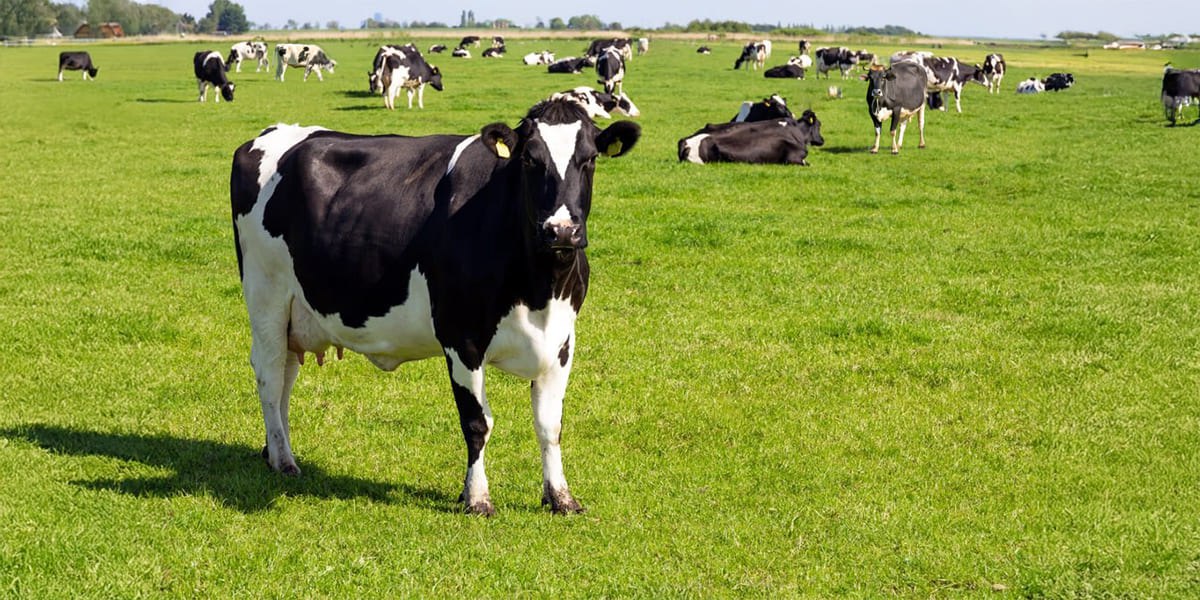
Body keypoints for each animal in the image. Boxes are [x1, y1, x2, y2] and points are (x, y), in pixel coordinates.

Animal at [229, 96, 641, 516]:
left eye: (589, 159)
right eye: (530, 159)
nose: (561, 230)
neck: (540, 290)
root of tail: (271, 134)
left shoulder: (561, 341)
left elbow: (549, 424)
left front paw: (560, 496)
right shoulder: (461, 338)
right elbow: (477, 423)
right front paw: (476, 497)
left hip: (296, 313)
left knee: (286, 374)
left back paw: (274, 450)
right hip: (266, 294)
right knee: (269, 374)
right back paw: (283, 459)